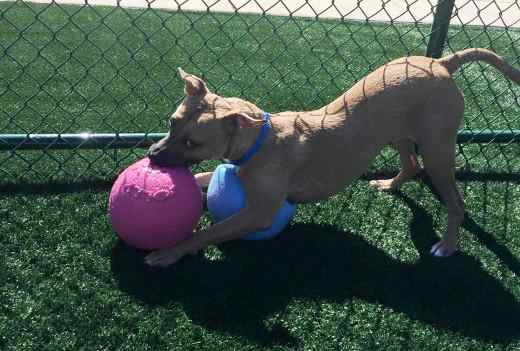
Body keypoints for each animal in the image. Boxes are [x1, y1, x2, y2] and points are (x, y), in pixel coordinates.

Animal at [144, 48, 520, 268]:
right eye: (171, 123)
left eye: (192, 142)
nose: (152, 156)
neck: (259, 139)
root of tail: (441, 63)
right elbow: (199, 181)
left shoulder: (259, 213)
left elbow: (209, 231)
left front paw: (171, 251)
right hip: (400, 134)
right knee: (411, 165)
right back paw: (390, 185)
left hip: (437, 151)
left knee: (456, 202)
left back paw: (447, 245)